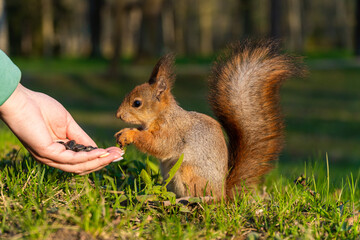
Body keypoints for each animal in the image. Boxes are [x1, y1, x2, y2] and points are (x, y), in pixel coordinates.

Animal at [114, 40, 304, 200]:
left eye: (137, 103)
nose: (118, 115)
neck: (162, 116)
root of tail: (223, 194)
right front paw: (122, 133)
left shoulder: (173, 132)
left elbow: (159, 145)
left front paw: (130, 134)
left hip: (187, 172)